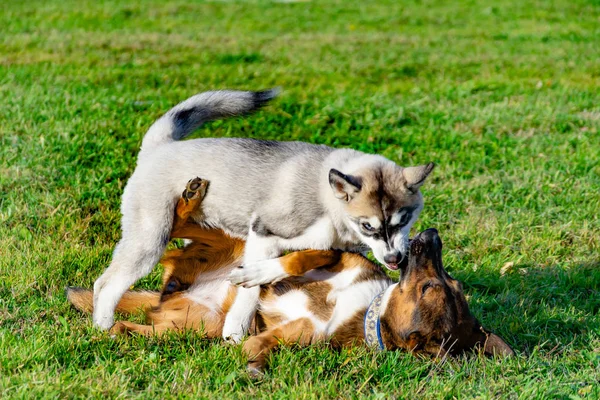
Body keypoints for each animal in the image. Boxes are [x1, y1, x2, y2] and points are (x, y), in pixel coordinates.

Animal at [69, 178, 510, 376]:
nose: (431, 235)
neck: (368, 311)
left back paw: (116, 329)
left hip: (192, 326)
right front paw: (265, 272)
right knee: (180, 221)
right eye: (447, 286)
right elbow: (303, 257)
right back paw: (192, 195)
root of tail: (170, 293)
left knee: (137, 326)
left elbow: (260, 345)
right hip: (227, 238)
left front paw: (253, 363)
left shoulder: (302, 333)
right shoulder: (335, 253)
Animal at [91, 88, 434, 344]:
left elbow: (306, 257)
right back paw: (103, 326)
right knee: (106, 283)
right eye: (368, 225)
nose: (395, 260)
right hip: (150, 239)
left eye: (403, 220)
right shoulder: (264, 231)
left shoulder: (332, 248)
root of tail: (158, 148)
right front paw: (237, 326)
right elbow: (250, 290)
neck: (327, 200)